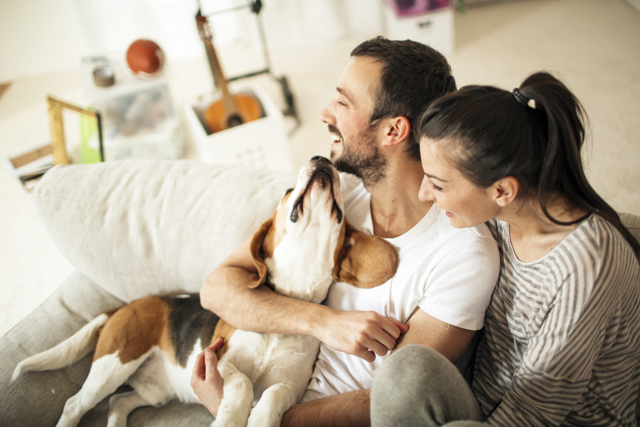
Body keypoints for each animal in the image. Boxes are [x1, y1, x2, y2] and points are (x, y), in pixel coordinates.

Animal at [12, 157, 398, 427]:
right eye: (288, 191)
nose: (321, 158)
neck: (286, 307)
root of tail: (131, 305)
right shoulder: (220, 360)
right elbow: (242, 385)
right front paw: (230, 417)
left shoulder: (292, 386)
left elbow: (272, 393)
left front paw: (261, 419)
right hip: (114, 364)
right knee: (75, 404)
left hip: (153, 391)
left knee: (117, 402)